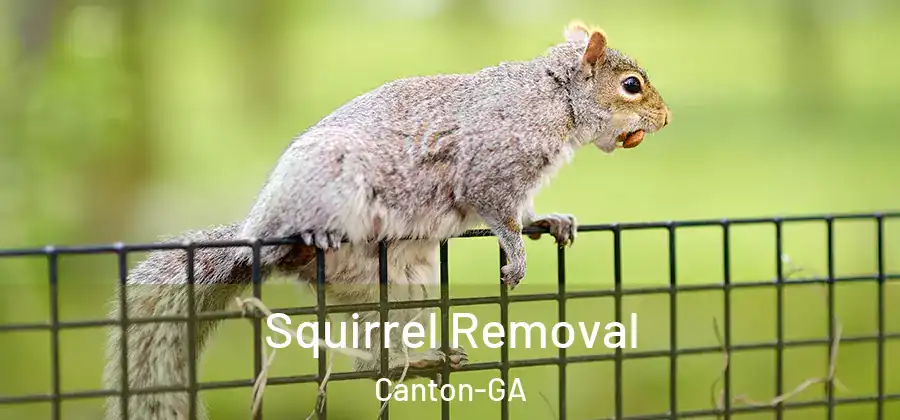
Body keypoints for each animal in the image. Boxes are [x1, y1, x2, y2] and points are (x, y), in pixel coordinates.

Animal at [102, 20, 670, 420]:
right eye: (631, 85)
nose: (665, 119)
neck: (554, 98)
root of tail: (253, 237)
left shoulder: (520, 183)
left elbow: (524, 211)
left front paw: (549, 222)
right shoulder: (489, 168)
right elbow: (498, 214)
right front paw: (516, 255)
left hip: (399, 287)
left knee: (372, 360)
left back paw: (416, 360)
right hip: (327, 187)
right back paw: (310, 239)